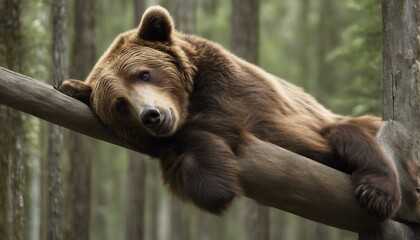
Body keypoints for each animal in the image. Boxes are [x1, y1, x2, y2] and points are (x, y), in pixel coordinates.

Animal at [59, 5, 400, 219]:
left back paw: (376, 192)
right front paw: (71, 85)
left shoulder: (235, 93)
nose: (152, 115)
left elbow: (233, 126)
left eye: (144, 73)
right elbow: (206, 184)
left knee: (350, 134)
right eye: (120, 103)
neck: (191, 96)